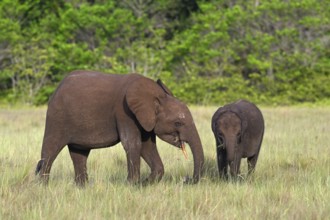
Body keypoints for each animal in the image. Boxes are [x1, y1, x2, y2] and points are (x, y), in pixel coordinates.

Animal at [35, 70, 204, 186]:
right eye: (178, 123)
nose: (186, 180)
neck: (155, 97)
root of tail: (58, 87)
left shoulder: (145, 119)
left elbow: (147, 147)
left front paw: (144, 184)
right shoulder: (125, 113)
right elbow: (133, 144)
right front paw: (132, 184)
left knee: (79, 154)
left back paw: (81, 188)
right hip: (57, 118)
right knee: (50, 151)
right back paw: (43, 187)